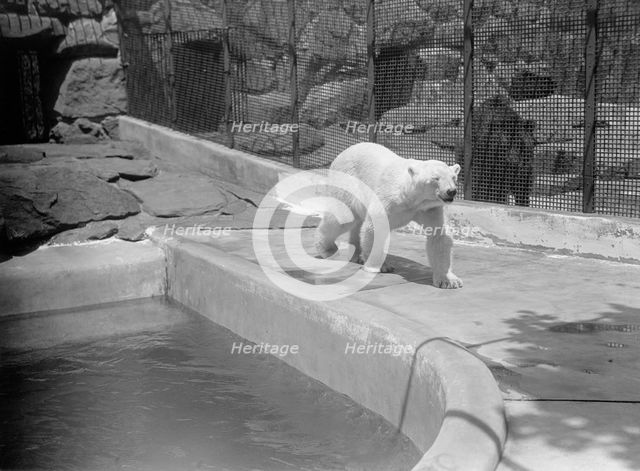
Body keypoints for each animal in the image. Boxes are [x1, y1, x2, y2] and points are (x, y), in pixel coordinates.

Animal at [316, 142, 463, 289]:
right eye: (435, 178)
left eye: (453, 177)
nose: (451, 191)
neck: (410, 198)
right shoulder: (389, 200)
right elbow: (375, 228)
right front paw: (381, 266)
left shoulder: (429, 208)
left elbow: (439, 236)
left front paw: (449, 280)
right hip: (348, 182)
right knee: (342, 217)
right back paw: (328, 250)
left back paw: (357, 254)